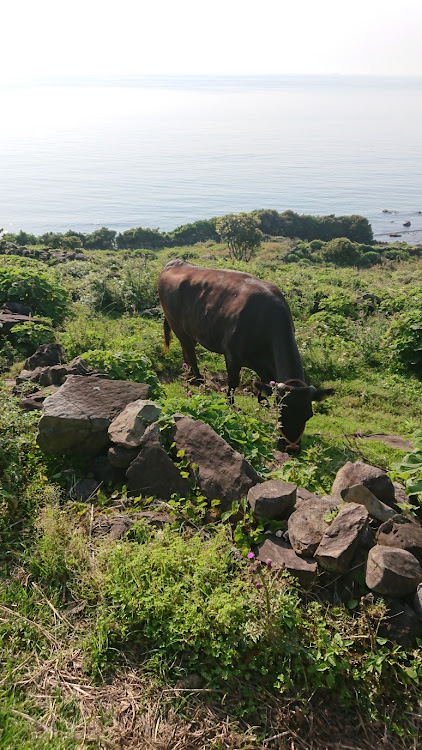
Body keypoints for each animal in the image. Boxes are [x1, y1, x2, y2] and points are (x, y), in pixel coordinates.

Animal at [157, 262, 334, 456]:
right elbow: (233, 383)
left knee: (187, 352)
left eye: (308, 415)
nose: (291, 448)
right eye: (280, 413)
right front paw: (231, 404)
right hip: (177, 326)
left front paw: (263, 403)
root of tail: (176, 263)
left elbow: (264, 387)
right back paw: (197, 380)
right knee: (189, 352)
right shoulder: (232, 356)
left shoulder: (266, 366)